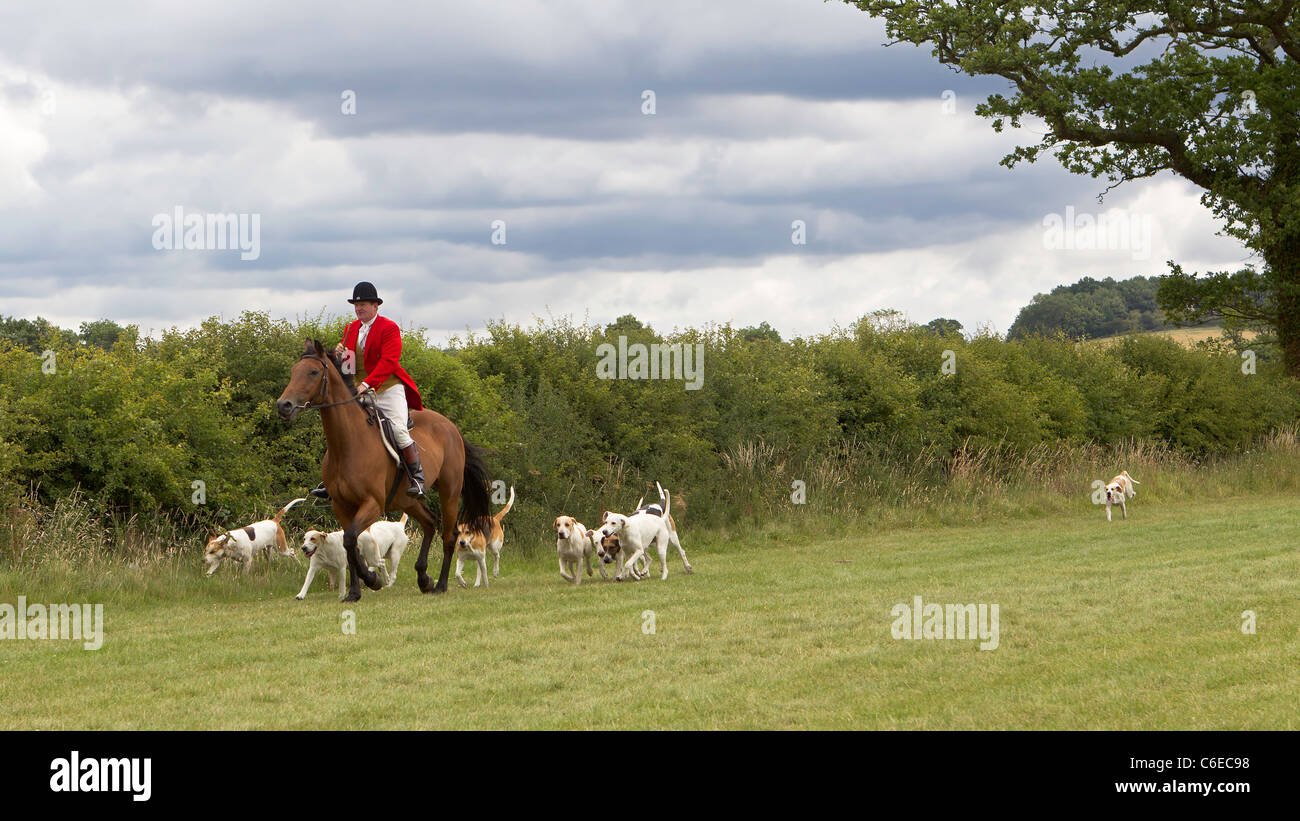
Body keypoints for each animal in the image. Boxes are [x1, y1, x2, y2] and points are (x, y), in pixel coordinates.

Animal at [274, 337, 491, 600]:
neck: (347, 444)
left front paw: (372, 579)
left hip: (449, 491)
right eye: (293, 371)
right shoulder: (341, 506)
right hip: (407, 500)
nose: (283, 405)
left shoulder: (373, 504)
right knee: (430, 522)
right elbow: (350, 545)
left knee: (449, 536)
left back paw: (440, 585)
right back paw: (423, 579)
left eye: (313, 372)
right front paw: (355, 592)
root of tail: (451, 427)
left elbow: (350, 540)